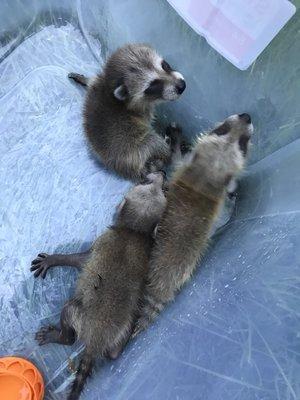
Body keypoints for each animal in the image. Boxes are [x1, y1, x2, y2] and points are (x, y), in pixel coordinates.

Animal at [30, 173, 166, 400]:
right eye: (149, 183)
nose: (161, 175)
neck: (134, 231)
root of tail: (95, 340)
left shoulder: (100, 243)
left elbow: (79, 260)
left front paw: (53, 259)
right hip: (122, 327)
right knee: (114, 352)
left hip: (78, 315)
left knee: (69, 317)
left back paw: (59, 336)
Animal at [68, 43, 185, 180]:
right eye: (152, 86)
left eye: (165, 65)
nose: (182, 86)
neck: (108, 86)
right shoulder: (143, 113)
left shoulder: (96, 83)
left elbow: (90, 81)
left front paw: (83, 79)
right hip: (136, 147)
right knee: (155, 142)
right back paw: (171, 145)